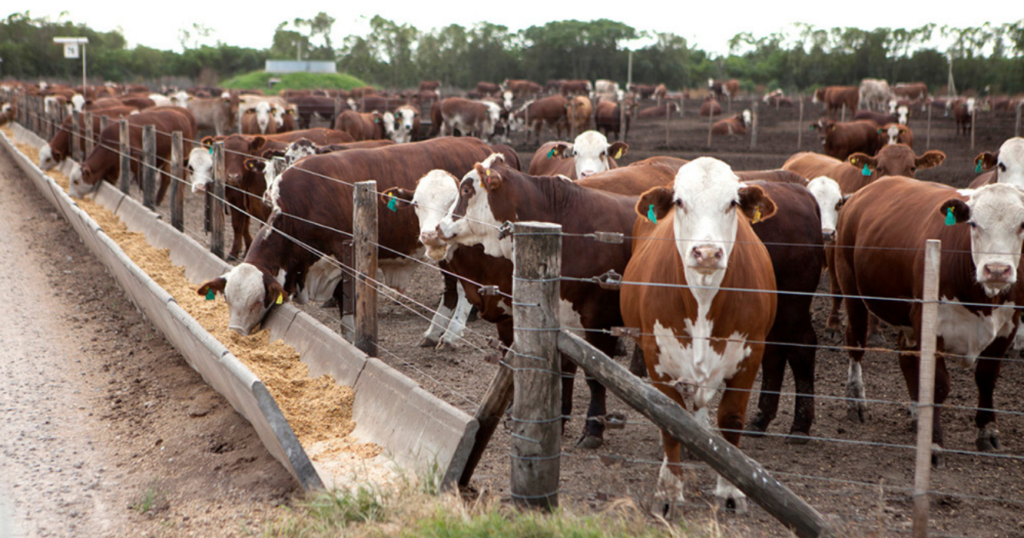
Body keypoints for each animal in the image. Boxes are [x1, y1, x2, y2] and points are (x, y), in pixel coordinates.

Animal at [68, 107, 197, 203]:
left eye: (76, 181)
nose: (70, 195)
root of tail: (182, 116)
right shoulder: (114, 167)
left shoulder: (136, 161)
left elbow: (140, 180)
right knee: (166, 178)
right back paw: (158, 199)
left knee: (181, 177)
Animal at [622, 155, 774, 512]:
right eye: (680, 202)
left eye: (732, 202)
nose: (705, 253)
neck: (703, 299)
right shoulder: (657, 357)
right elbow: (669, 422)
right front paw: (668, 491)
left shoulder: (750, 356)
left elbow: (731, 419)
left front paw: (731, 490)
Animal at [831, 177, 1024, 452]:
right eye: (973, 223)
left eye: (1022, 225)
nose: (996, 270)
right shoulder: (929, 322)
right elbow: (938, 384)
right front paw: (934, 444)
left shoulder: (1008, 325)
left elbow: (986, 377)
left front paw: (987, 431)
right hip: (852, 290)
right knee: (856, 344)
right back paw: (856, 401)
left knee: (906, 356)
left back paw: (916, 414)